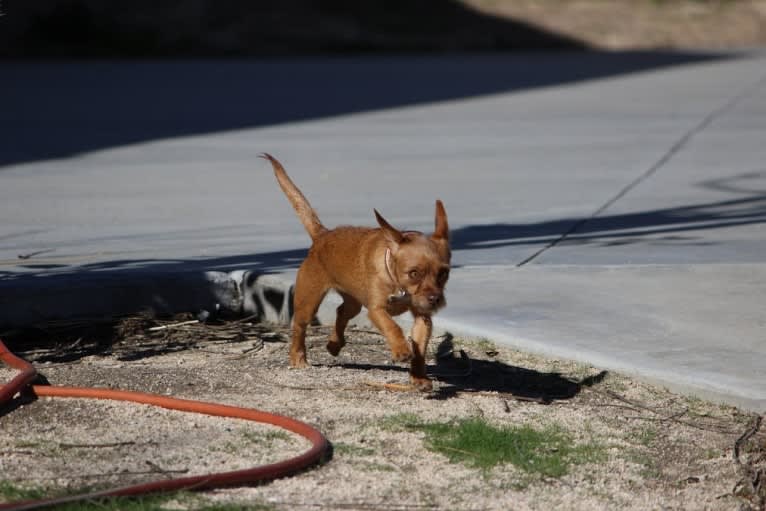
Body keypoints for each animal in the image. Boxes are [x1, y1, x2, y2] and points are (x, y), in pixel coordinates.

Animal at [262, 153, 450, 392]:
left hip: (354, 303)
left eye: (443, 273)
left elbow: (419, 349)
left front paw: (418, 377)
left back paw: (334, 344)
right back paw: (298, 357)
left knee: (341, 311)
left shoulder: (423, 318)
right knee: (299, 326)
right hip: (308, 302)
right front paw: (401, 350)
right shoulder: (376, 310)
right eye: (414, 273)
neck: (398, 285)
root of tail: (322, 235)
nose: (435, 299)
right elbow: (393, 327)